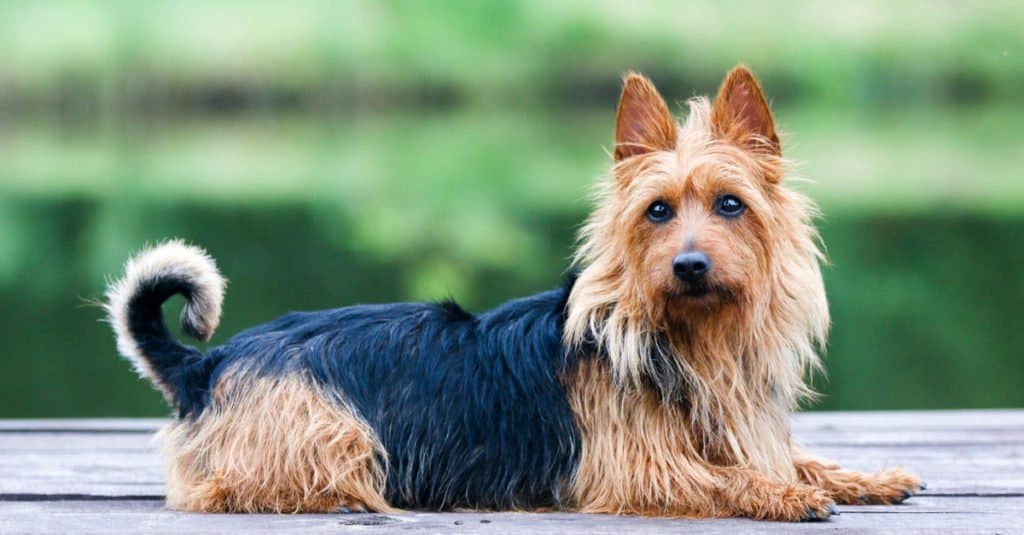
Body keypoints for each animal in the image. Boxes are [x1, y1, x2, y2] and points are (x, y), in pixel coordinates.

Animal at [103, 64, 921, 518]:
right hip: (330, 431)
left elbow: (790, 458)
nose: (689, 265)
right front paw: (784, 496)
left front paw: (868, 476)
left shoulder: (740, 428)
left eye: (730, 204)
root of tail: (206, 362)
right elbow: (723, 479)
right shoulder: (633, 466)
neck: (686, 336)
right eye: (658, 210)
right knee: (234, 485)